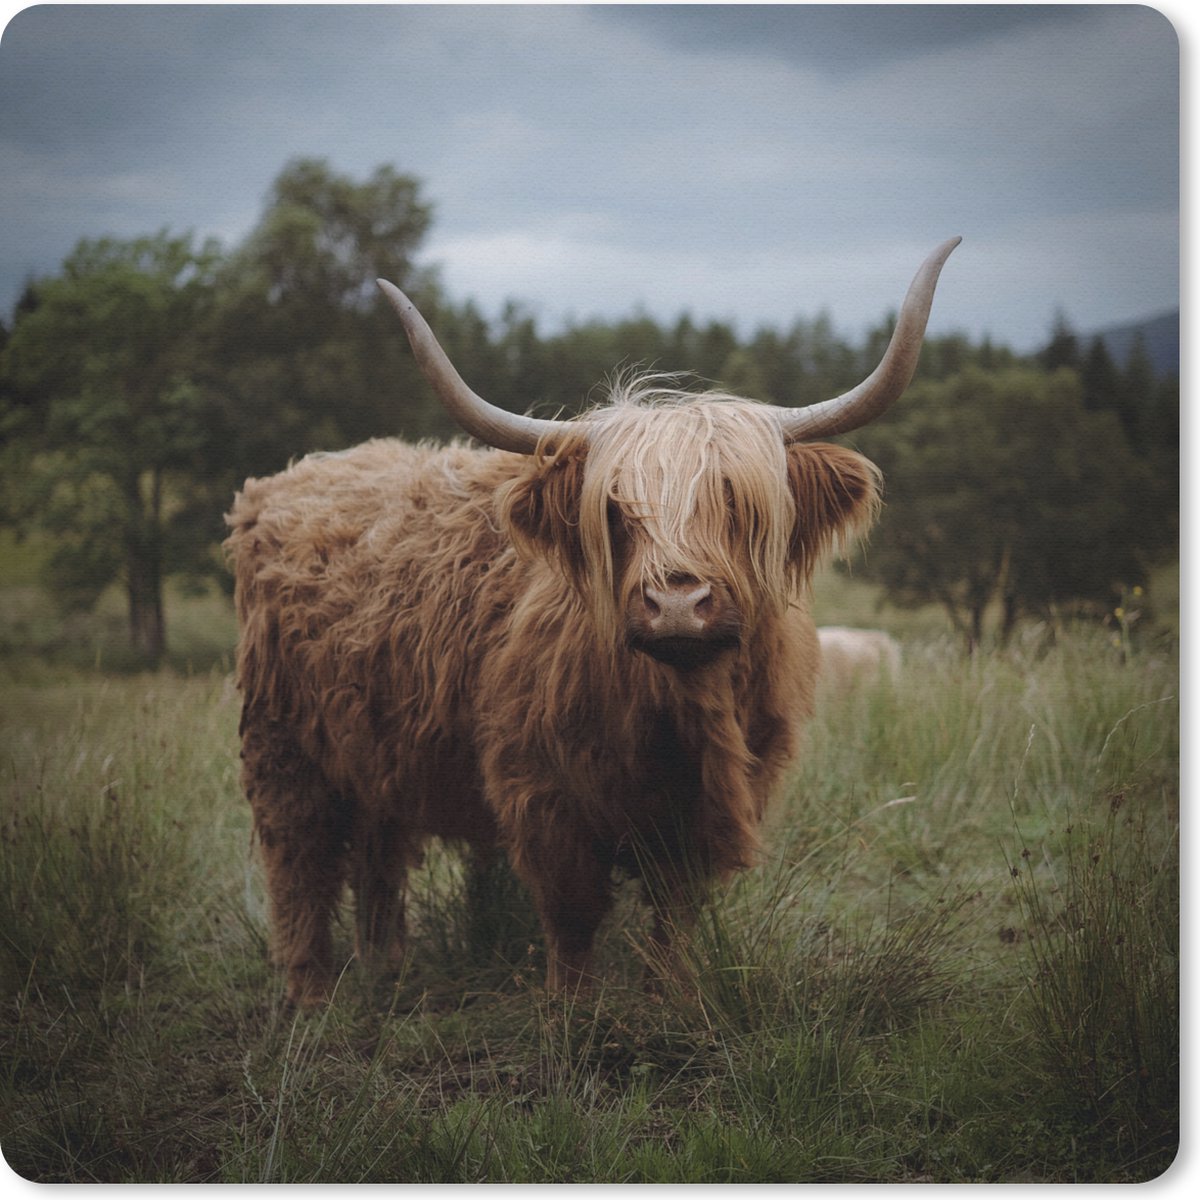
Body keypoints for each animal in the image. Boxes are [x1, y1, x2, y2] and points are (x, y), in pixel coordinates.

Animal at [225, 237, 959, 1005]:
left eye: (735, 502)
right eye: (614, 509)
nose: (676, 603)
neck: (680, 715)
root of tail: (293, 477)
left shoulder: (711, 808)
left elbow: (675, 917)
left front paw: (674, 999)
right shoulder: (545, 797)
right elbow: (573, 918)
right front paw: (573, 1014)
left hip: (376, 748)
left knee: (379, 852)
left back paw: (386, 971)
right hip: (283, 747)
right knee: (298, 864)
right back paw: (309, 997)